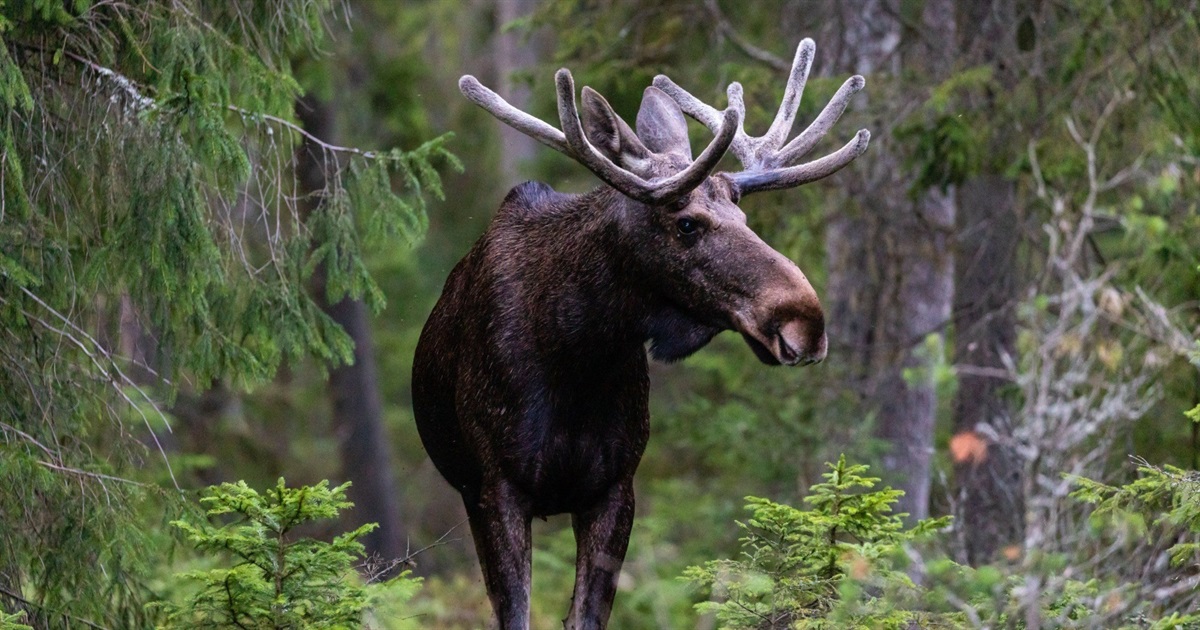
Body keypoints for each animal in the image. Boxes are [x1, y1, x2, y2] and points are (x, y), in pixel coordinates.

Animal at [415, 40, 873, 628]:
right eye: (686, 223)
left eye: (743, 216)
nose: (806, 321)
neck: (577, 354)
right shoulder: (499, 488)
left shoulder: (616, 488)